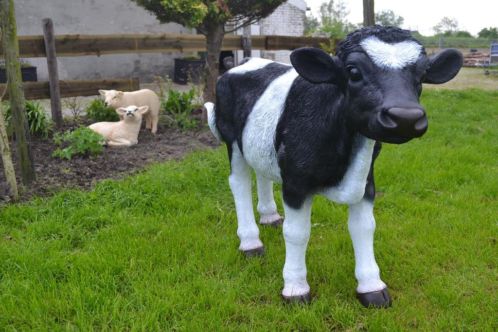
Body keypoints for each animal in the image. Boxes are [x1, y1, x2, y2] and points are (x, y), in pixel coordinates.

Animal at [203, 26, 462, 308]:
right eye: (353, 71)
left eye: (422, 74)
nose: (406, 117)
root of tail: (243, 62)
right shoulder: (295, 182)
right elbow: (297, 232)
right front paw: (295, 289)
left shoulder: (367, 180)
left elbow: (364, 227)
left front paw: (371, 286)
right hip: (232, 139)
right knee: (239, 182)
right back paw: (251, 242)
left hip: (261, 142)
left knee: (262, 172)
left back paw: (270, 216)